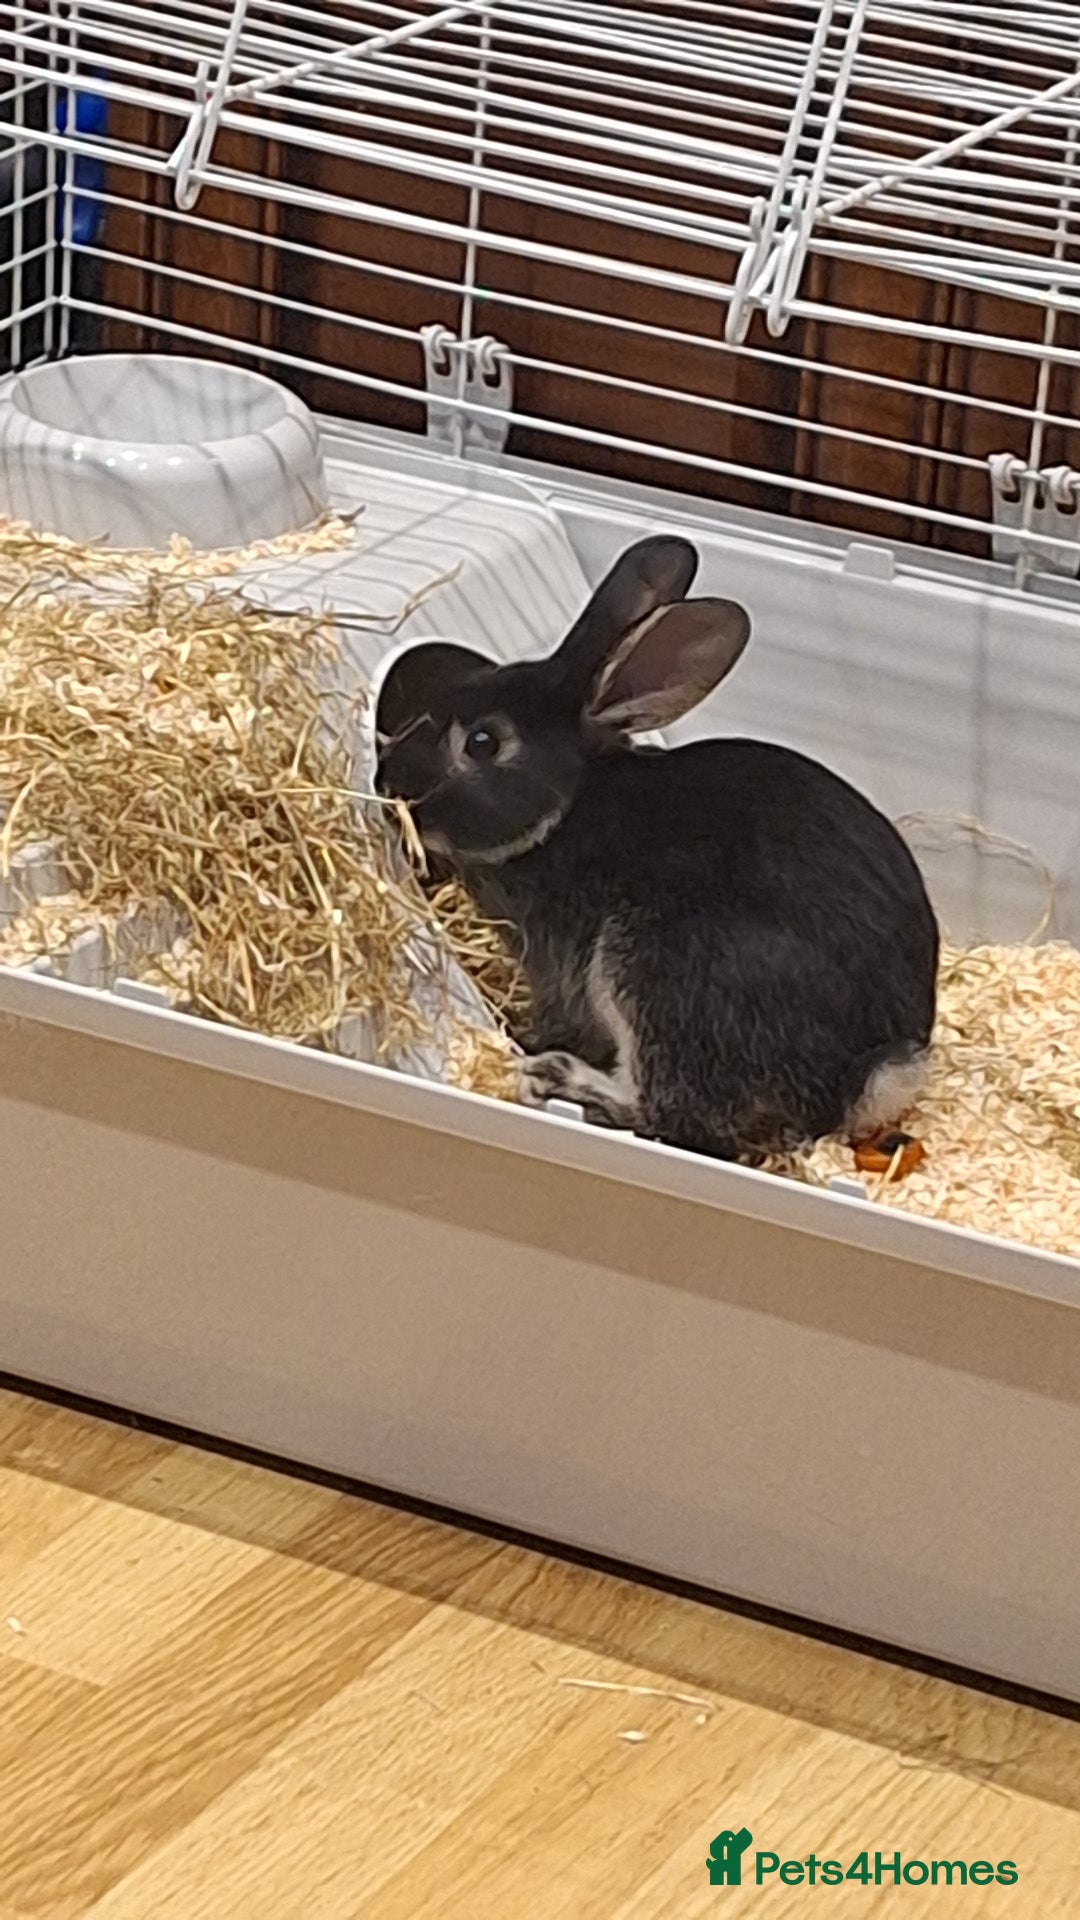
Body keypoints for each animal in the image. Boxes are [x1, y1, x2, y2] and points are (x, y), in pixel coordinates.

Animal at [374, 534, 939, 1160]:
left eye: (481, 742)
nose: (387, 783)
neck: (569, 805)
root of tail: (863, 1079)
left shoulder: (556, 962)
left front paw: (526, 1035)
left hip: (656, 975)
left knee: (673, 1115)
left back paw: (556, 1077)